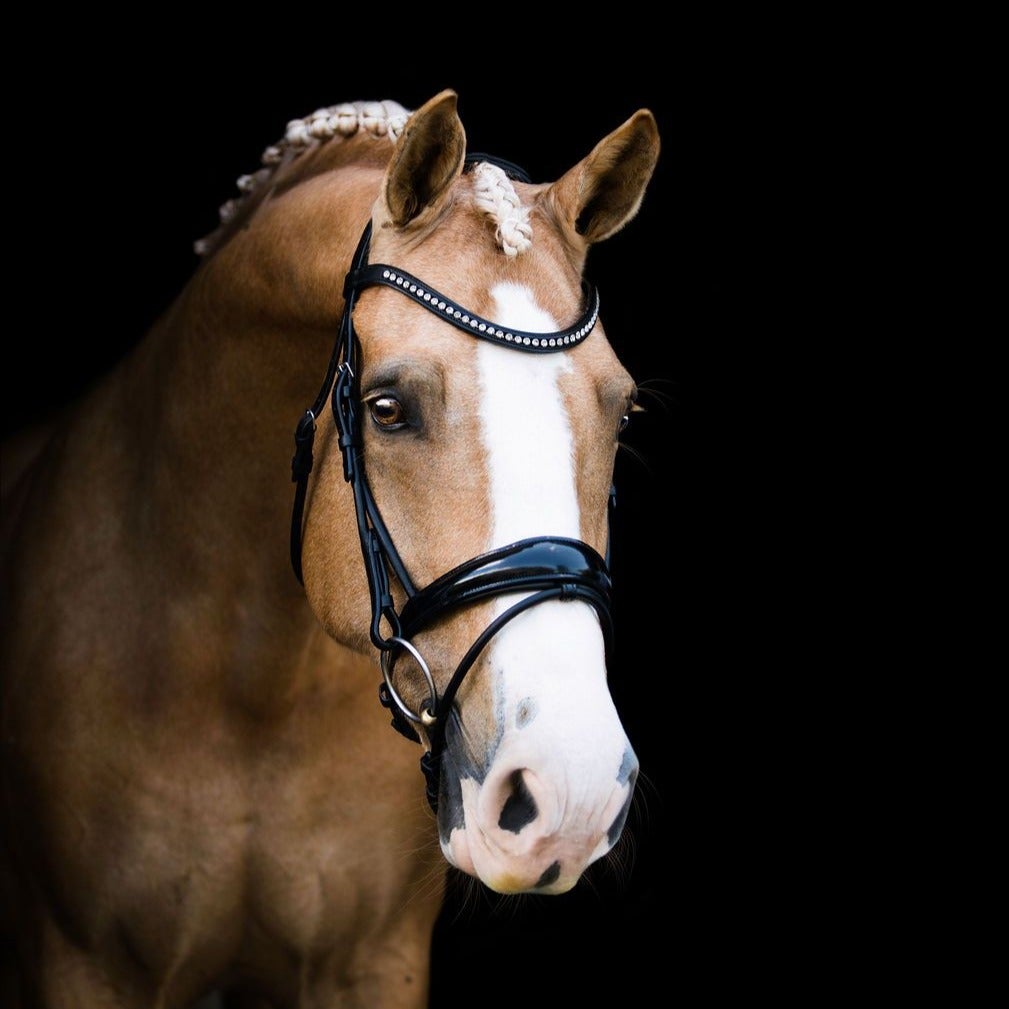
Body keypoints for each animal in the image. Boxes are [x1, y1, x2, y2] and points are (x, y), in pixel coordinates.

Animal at [0, 90, 657, 1004]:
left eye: (623, 412)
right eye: (387, 408)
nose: (571, 790)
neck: (252, 693)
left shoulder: (373, 964)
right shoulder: (82, 965)